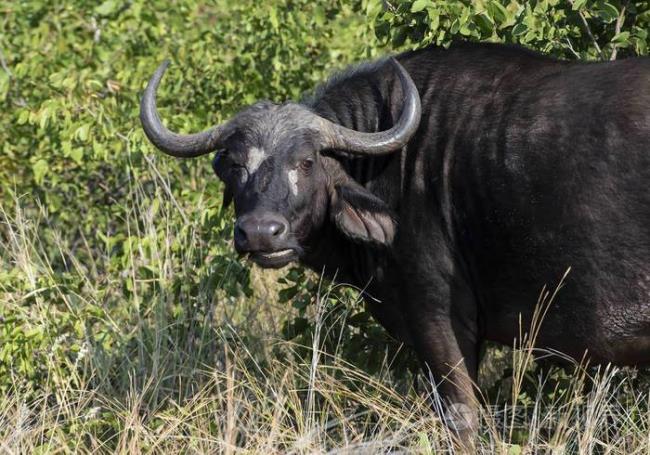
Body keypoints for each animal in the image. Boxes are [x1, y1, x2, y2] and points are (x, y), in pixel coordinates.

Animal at [140, 42, 648, 438]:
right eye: (235, 164)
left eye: (306, 161)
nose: (262, 233)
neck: (399, 162)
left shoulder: (438, 318)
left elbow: (461, 418)